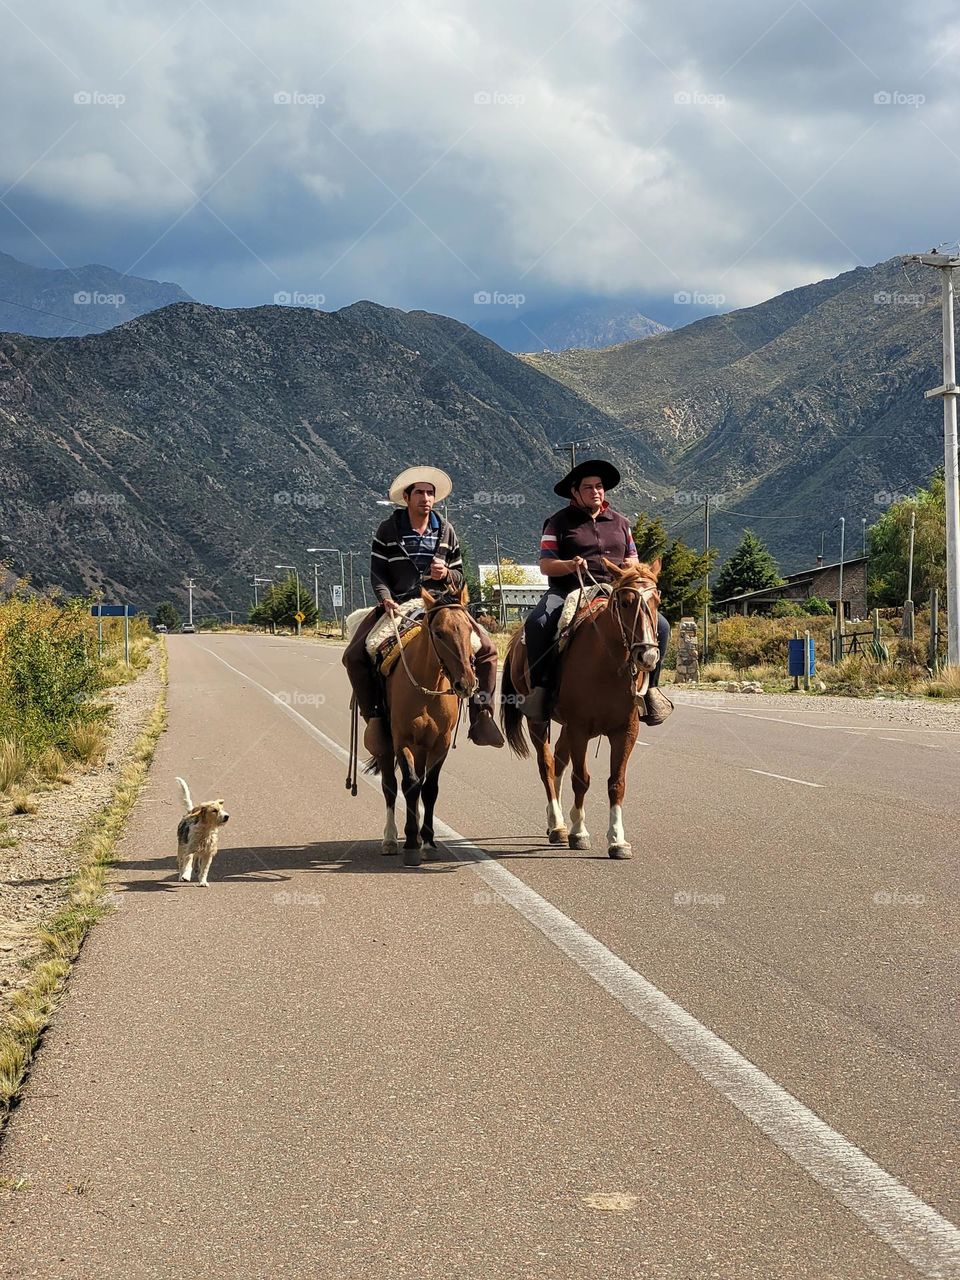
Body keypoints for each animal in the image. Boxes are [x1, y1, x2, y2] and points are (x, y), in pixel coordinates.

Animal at [366, 583, 478, 865]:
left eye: (469, 628)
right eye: (438, 633)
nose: (466, 683)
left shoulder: (440, 744)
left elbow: (429, 789)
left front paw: (426, 841)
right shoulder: (402, 740)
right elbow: (409, 785)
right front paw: (411, 842)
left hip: (422, 748)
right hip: (386, 747)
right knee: (390, 787)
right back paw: (391, 839)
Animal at [499, 560, 665, 860]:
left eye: (656, 600)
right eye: (625, 602)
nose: (647, 655)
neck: (607, 663)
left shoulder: (626, 731)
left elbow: (616, 782)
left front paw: (618, 840)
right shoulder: (580, 728)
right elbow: (582, 779)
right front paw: (579, 832)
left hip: (566, 726)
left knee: (559, 761)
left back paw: (555, 821)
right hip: (538, 722)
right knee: (547, 765)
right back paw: (558, 825)